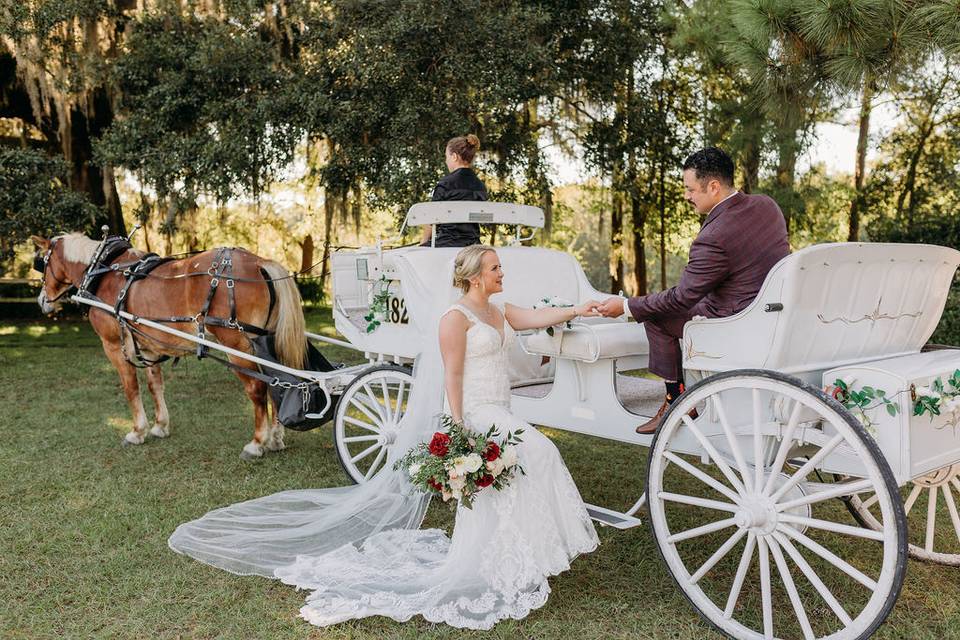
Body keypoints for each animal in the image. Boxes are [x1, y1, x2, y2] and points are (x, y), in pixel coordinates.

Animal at [31, 232, 308, 458]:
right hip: (265, 342)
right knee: (278, 383)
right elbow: (155, 386)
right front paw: (160, 426)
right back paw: (275, 438)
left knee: (257, 389)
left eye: (42, 264)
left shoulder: (113, 346)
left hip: (237, 344)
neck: (103, 270)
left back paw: (257, 443)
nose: (42, 300)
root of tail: (258, 262)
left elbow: (131, 387)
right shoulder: (149, 346)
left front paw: (137, 431)